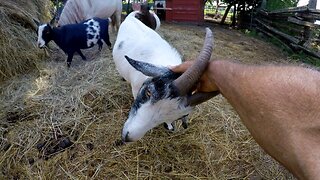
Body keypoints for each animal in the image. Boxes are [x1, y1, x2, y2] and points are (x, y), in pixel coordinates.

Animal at [112, 11, 218, 143]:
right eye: (148, 92)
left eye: (180, 116)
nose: (127, 137)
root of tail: (131, 16)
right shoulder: (136, 89)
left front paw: (169, 126)